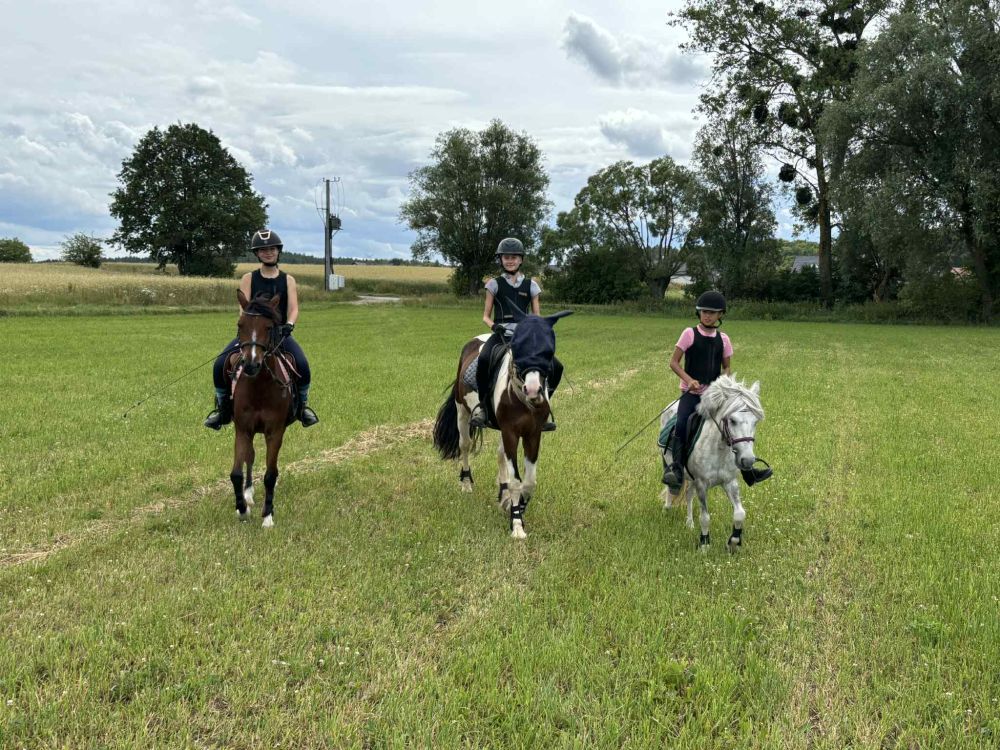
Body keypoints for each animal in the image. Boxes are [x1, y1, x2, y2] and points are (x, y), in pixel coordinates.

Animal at [227, 289, 299, 528]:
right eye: (240, 324)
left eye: (269, 327)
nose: (251, 364)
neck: (259, 387)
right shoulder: (242, 429)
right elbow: (236, 473)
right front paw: (242, 509)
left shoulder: (275, 432)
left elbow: (270, 474)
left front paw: (268, 515)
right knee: (250, 457)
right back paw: (248, 494)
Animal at [433, 311, 572, 539]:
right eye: (518, 347)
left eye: (549, 351)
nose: (532, 390)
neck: (520, 398)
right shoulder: (510, 432)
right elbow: (517, 480)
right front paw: (517, 524)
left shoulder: (533, 434)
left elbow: (529, 482)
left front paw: (515, 505)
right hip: (462, 412)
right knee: (465, 445)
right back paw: (466, 484)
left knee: (499, 455)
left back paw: (503, 494)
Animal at [658, 375, 766, 551]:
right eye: (732, 420)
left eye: (755, 421)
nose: (748, 460)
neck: (718, 449)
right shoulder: (702, 484)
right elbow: (705, 517)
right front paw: (704, 545)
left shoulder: (729, 482)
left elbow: (740, 513)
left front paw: (733, 543)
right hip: (670, 464)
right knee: (671, 486)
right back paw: (667, 508)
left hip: (692, 478)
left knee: (688, 495)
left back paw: (689, 523)